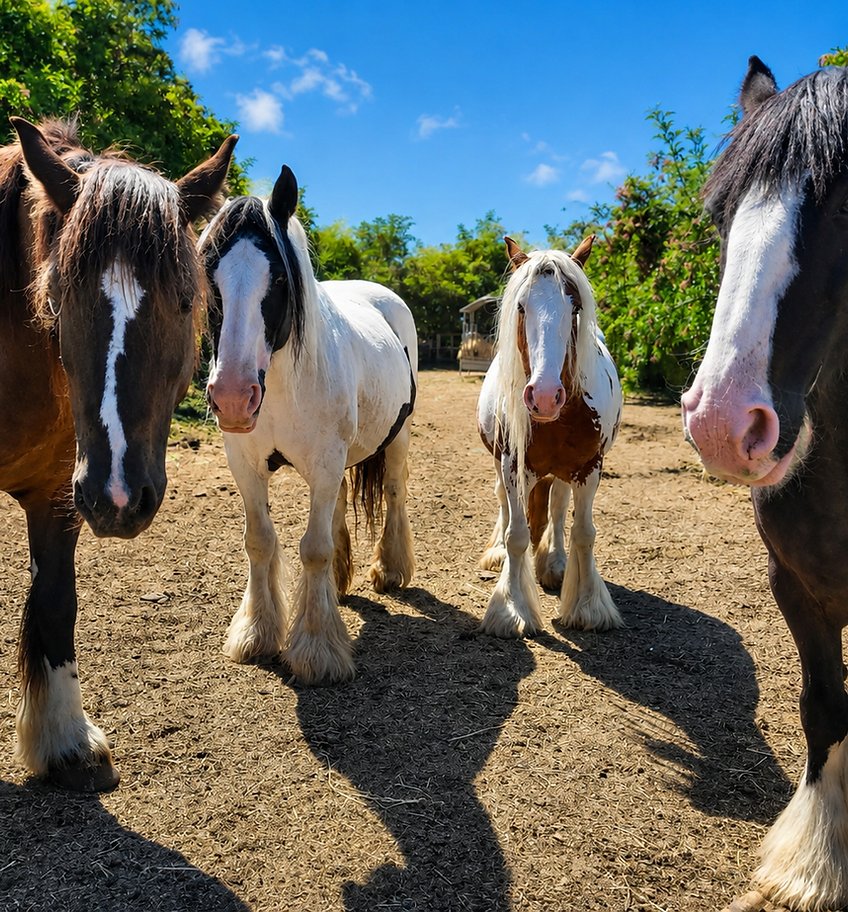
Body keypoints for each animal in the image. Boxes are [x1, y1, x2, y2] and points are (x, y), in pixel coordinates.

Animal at [0, 118, 236, 791]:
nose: (119, 497)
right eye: (57, 297)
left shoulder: (58, 492)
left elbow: (56, 602)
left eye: (185, 300)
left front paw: (67, 743)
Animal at [200, 163, 417, 686]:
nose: (232, 397)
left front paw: (317, 648)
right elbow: (260, 542)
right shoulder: (245, 463)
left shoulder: (324, 461)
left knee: (395, 493)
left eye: (279, 276)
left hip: (395, 440)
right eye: (208, 272)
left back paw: (391, 568)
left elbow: (313, 548)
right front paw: (256, 633)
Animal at [477, 236, 622, 637]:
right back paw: (498, 552)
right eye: (521, 306)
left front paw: (589, 606)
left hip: (561, 473)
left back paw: (555, 563)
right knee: (505, 504)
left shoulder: (590, 468)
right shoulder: (512, 465)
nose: (543, 396)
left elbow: (583, 532)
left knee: (557, 508)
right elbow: (517, 534)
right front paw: (511, 609)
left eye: (575, 307)